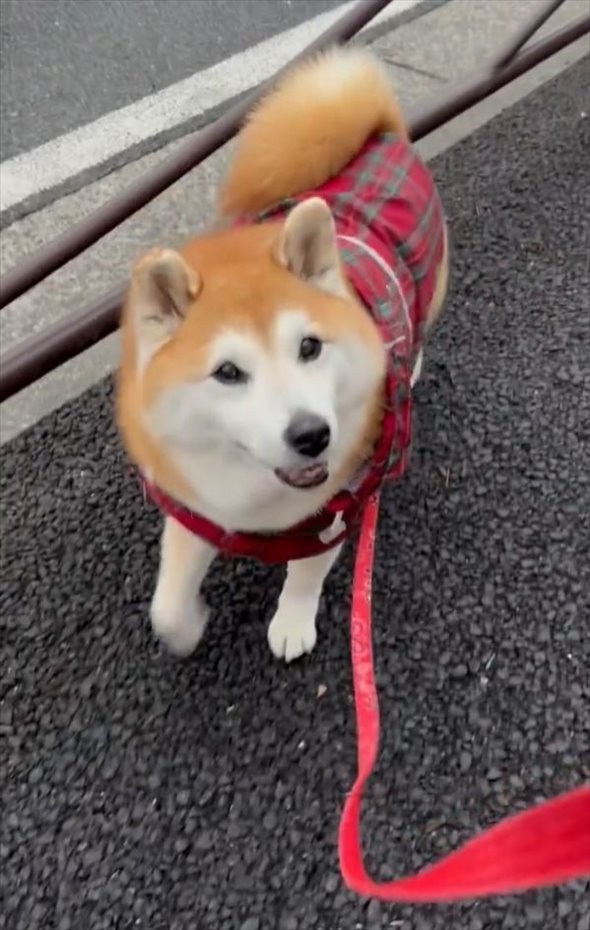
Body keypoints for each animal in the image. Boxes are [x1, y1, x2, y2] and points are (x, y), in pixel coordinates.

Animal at [115, 47, 448, 660]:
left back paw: (410, 362)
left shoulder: (332, 512)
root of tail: (380, 133)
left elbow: (305, 573)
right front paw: (188, 627)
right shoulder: (195, 506)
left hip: (430, 279)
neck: (258, 495)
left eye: (309, 347)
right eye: (227, 372)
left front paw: (292, 622)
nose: (313, 434)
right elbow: (166, 604)